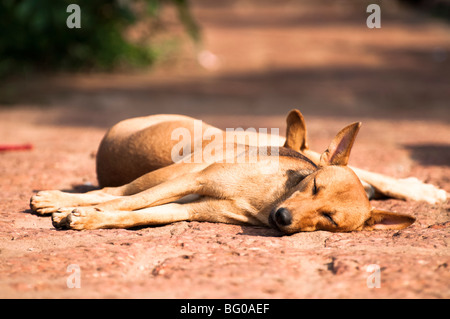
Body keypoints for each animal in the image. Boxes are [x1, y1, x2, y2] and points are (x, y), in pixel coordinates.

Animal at [29, 110, 444, 235]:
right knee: (113, 190)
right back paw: (56, 199)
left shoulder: (190, 207)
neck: (269, 198)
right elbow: (126, 202)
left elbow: (134, 215)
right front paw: (80, 212)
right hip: (176, 170)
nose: (283, 217)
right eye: (313, 186)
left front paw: (91, 220)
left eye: (330, 219)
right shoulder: (194, 178)